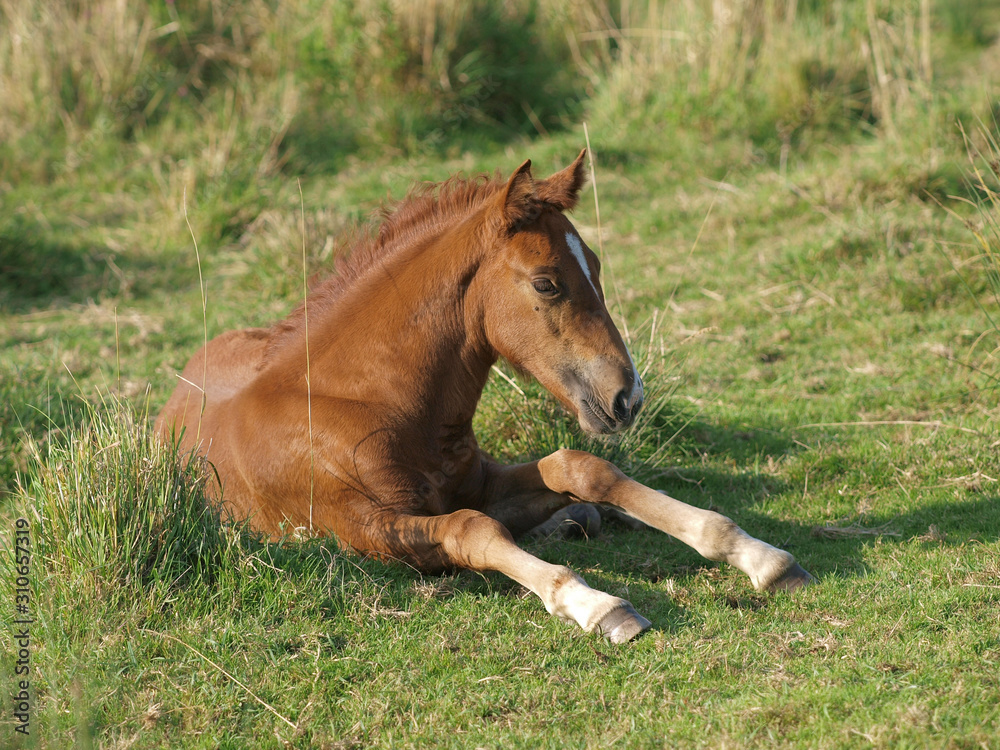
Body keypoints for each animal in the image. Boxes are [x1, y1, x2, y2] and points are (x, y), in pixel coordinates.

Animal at [156, 150, 812, 643]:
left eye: (597, 268)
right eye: (547, 284)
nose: (627, 397)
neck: (372, 406)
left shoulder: (482, 480)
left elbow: (582, 467)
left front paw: (759, 556)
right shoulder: (362, 528)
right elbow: (473, 531)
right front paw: (596, 604)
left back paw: (575, 520)